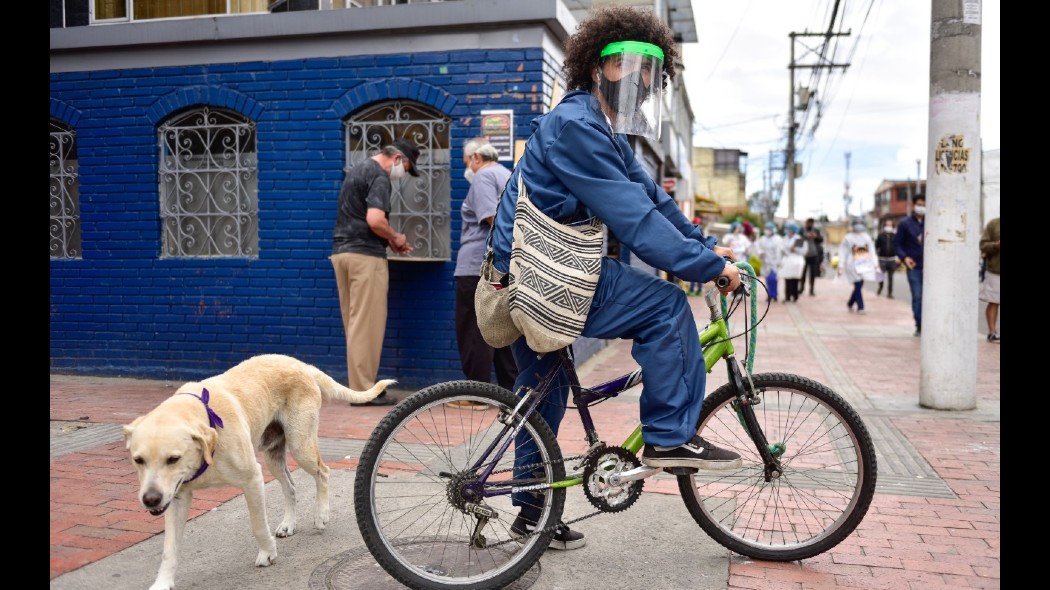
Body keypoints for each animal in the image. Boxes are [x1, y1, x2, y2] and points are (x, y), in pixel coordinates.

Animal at [124, 350, 394, 587]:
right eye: (138, 460)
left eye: (173, 459)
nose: (150, 500)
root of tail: (301, 365)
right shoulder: (177, 497)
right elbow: (169, 549)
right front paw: (162, 583)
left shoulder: (252, 479)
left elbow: (258, 526)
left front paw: (267, 553)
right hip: (273, 456)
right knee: (291, 486)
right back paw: (288, 523)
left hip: (300, 446)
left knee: (323, 471)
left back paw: (321, 515)